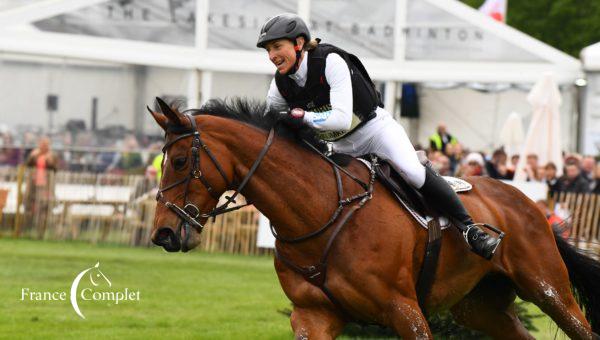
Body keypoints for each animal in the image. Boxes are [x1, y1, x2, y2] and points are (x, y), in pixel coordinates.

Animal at [148, 97, 600, 338]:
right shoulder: (314, 316)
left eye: (181, 161)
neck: (318, 212)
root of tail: (528, 202)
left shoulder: (405, 311)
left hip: (546, 288)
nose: (163, 234)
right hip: (479, 306)